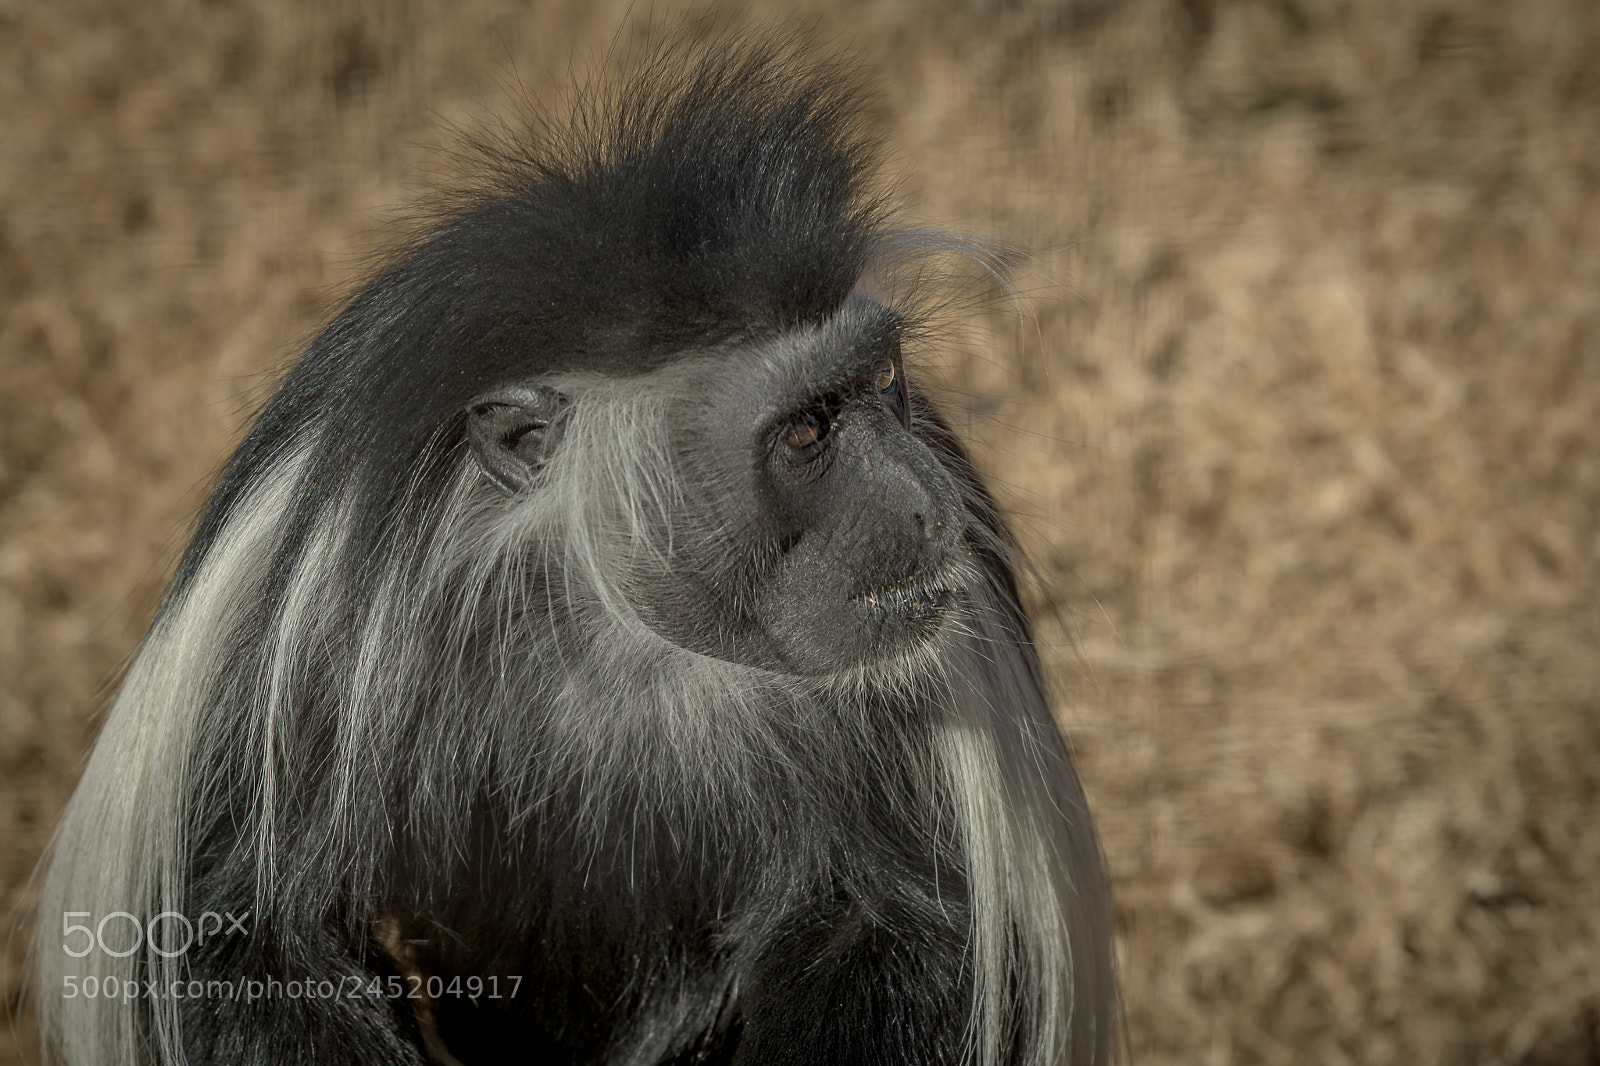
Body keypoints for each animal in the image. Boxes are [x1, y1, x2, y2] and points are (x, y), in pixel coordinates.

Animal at [33, 36, 1117, 1066]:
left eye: (882, 380)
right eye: (807, 430)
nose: (935, 507)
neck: (612, 628)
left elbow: (893, 927)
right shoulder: (296, 641)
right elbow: (240, 932)